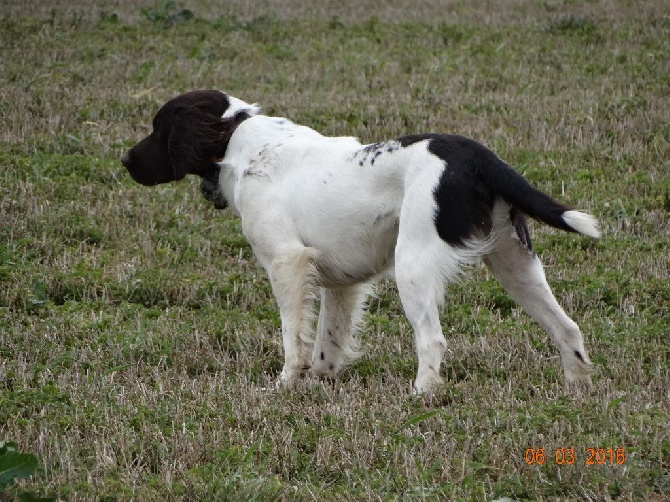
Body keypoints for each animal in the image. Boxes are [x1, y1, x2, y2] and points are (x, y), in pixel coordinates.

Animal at [122, 90, 604, 394]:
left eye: (159, 128)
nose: (124, 159)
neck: (237, 140)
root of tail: (482, 157)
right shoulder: (341, 283)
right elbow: (326, 345)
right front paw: (319, 383)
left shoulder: (286, 262)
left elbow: (293, 340)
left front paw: (283, 385)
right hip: (515, 265)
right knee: (567, 328)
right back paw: (577, 387)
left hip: (414, 267)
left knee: (432, 340)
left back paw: (420, 394)